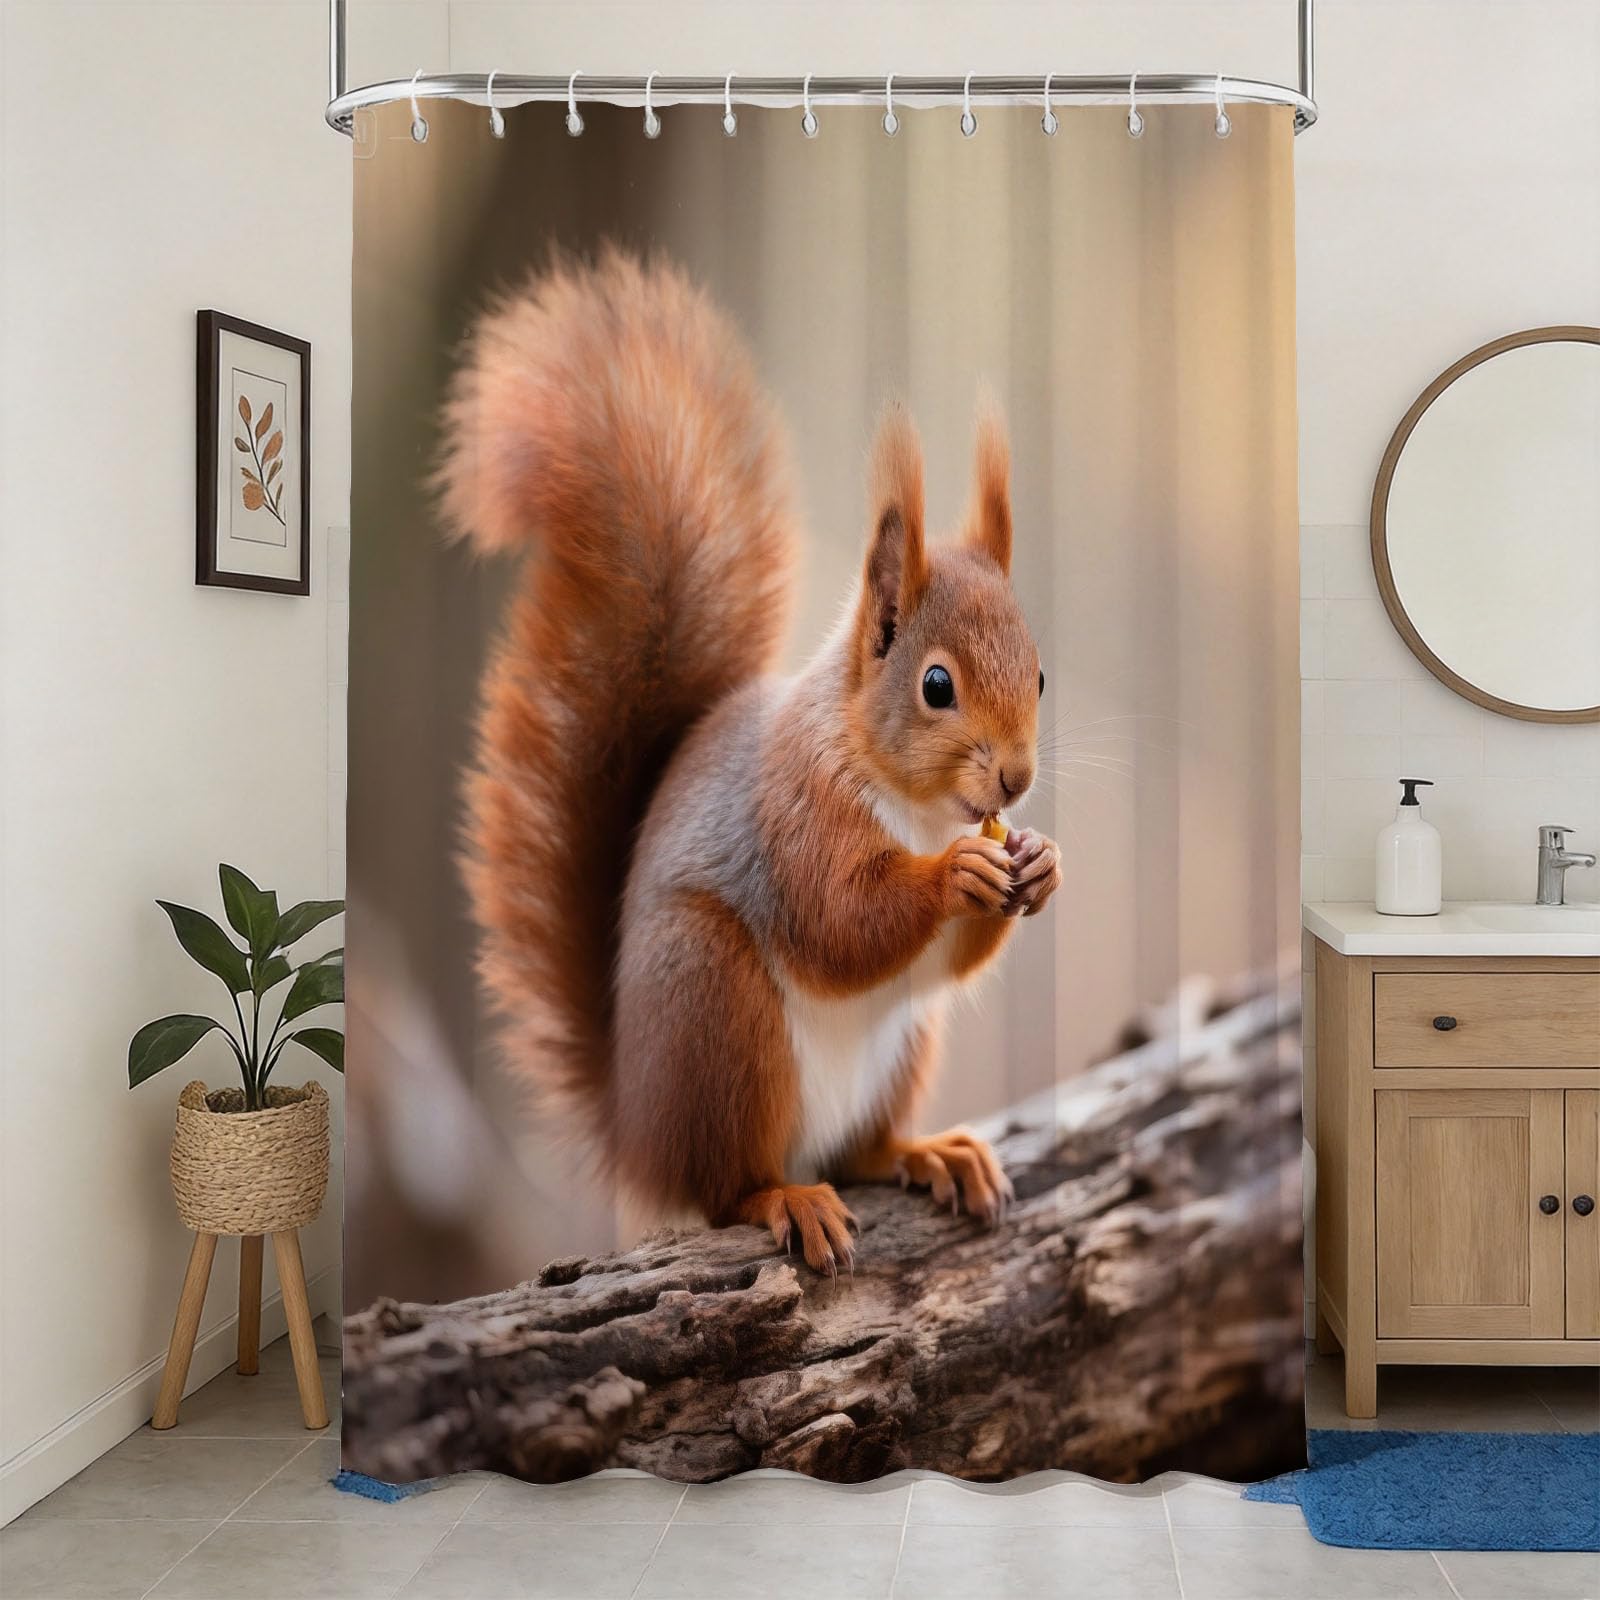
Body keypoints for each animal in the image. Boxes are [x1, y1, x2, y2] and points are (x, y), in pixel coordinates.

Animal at [437, 248, 1061, 1275]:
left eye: (1041, 673)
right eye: (936, 684)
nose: (1015, 781)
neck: (914, 804)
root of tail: (636, 1131)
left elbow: (949, 958)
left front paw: (1041, 864)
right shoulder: (795, 809)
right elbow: (840, 919)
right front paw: (956, 875)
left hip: (901, 1048)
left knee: (861, 1150)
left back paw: (928, 1152)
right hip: (717, 1009)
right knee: (725, 1184)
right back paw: (782, 1197)